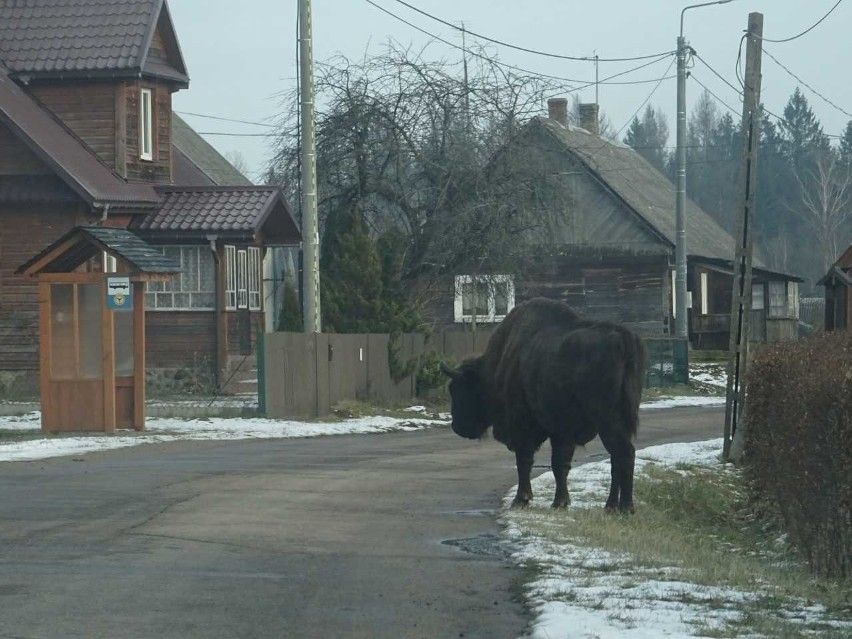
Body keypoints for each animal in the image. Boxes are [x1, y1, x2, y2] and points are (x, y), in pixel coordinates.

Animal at [440, 298, 644, 512]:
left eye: (457, 389)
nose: (457, 427)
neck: (498, 366)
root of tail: (624, 339)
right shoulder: (561, 432)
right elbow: (560, 464)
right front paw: (560, 502)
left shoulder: (523, 428)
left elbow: (525, 461)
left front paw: (521, 499)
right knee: (616, 458)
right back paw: (610, 506)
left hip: (608, 422)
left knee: (624, 454)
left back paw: (625, 508)